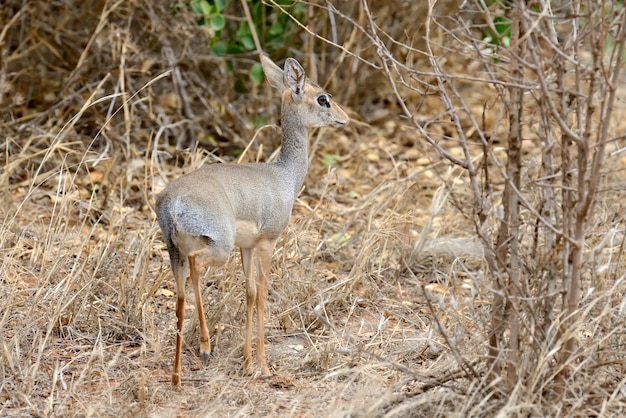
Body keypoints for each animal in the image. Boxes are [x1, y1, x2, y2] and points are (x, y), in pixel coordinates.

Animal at [155, 54, 348, 386]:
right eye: (323, 98)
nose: (344, 118)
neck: (284, 177)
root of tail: (171, 202)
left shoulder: (247, 247)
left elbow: (249, 294)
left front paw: (246, 363)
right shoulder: (268, 243)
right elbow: (262, 295)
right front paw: (264, 365)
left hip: (175, 251)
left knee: (179, 295)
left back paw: (178, 376)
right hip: (216, 247)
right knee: (196, 266)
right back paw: (204, 349)